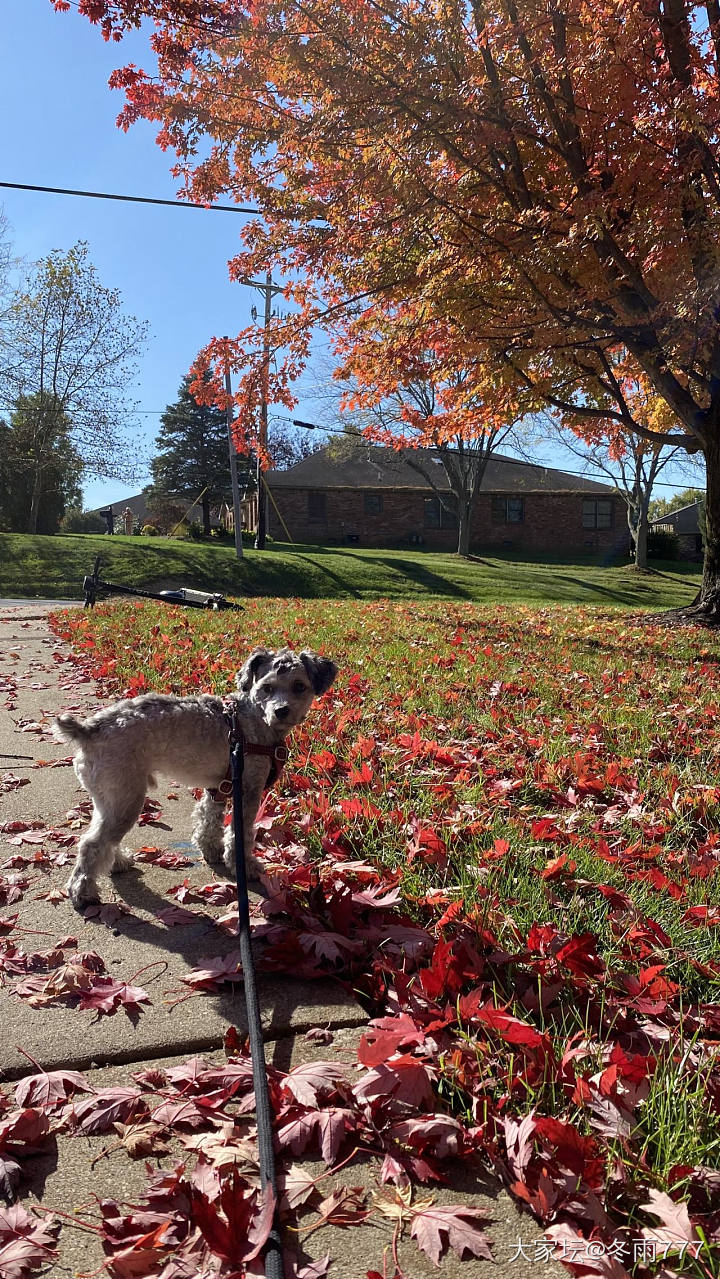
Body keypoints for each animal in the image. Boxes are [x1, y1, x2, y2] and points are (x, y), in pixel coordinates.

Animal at [53, 649, 337, 910]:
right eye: (267, 688)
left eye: (299, 686)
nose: (281, 711)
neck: (252, 721)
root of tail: (89, 730)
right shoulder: (247, 790)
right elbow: (240, 834)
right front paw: (245, 866)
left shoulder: (218, 787)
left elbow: (208, 819)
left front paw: (211, 851)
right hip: (126, 798)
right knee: (91, 844)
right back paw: (83, 892)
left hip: (110, 799)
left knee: (101, 837)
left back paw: (118, 862)